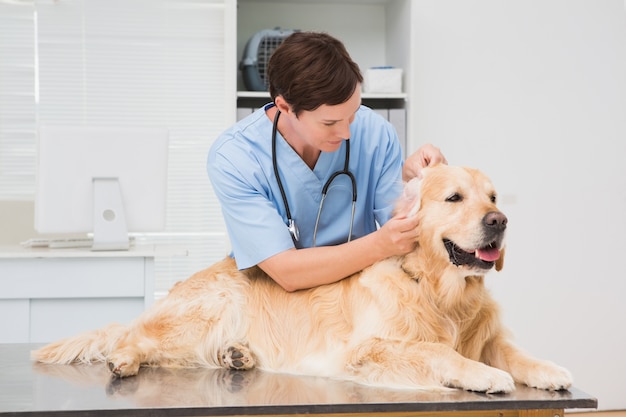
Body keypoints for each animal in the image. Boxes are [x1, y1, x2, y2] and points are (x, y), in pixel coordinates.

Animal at [31, 163, 572, 394]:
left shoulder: (486, 332)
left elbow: (513, 351)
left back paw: (237, 355)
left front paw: (549, 370)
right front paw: (484, 376)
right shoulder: (367, 348)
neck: (442, 294)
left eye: (494, 198)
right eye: (454, 198)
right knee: (134, 338)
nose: (499, 222)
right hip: (209, 304)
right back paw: (124, 360)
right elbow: (438, 352)